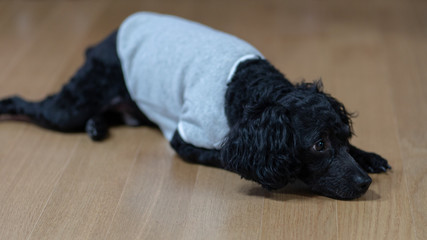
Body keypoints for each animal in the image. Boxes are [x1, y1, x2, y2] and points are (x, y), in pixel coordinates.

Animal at [0, 12, 392, 199]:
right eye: (318, 145)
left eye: (345, 137)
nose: (364, 184)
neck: (246, 87)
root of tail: (105, 37)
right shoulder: (186, 138)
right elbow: (226, 156)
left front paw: (369, 156)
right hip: (70, 107)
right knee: (29, 104)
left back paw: (97, 126)